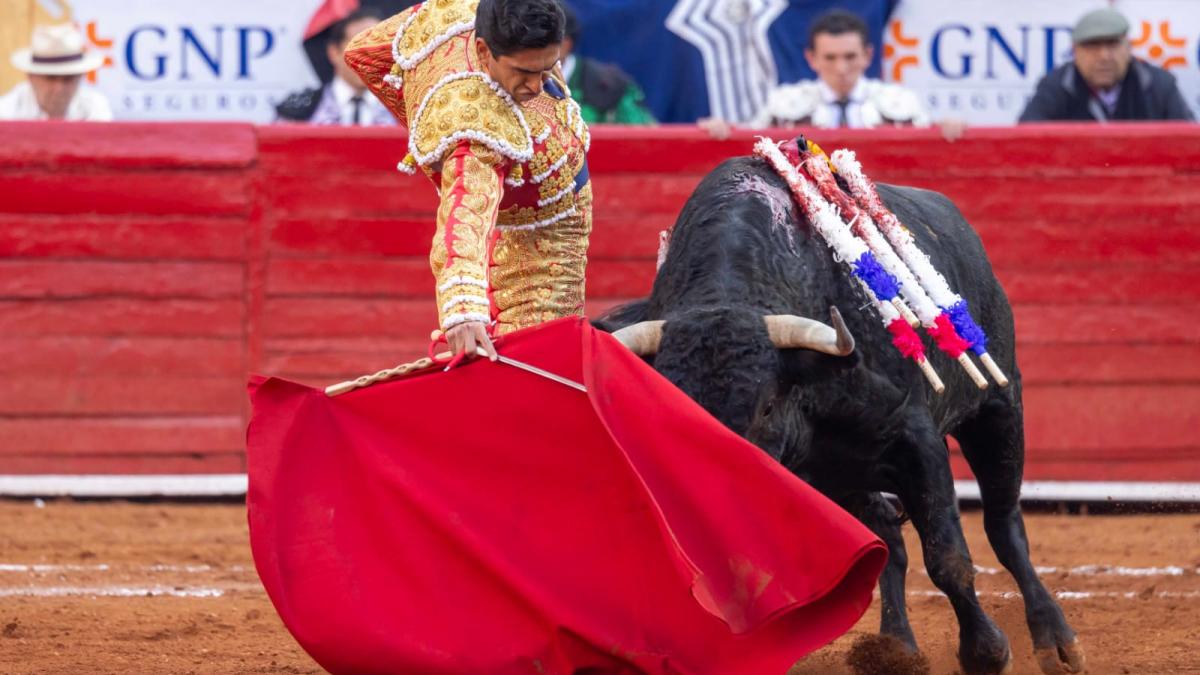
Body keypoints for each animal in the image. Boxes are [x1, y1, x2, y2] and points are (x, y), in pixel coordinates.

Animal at [600, 153, 1089, 672]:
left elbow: (948, 557)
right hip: (844, 477)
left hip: (998, 408)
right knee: (889, 541)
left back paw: (1055, 641)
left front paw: (986, 652)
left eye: (767, 404)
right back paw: (895, 648)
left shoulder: (916, 439)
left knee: (1004, 525)